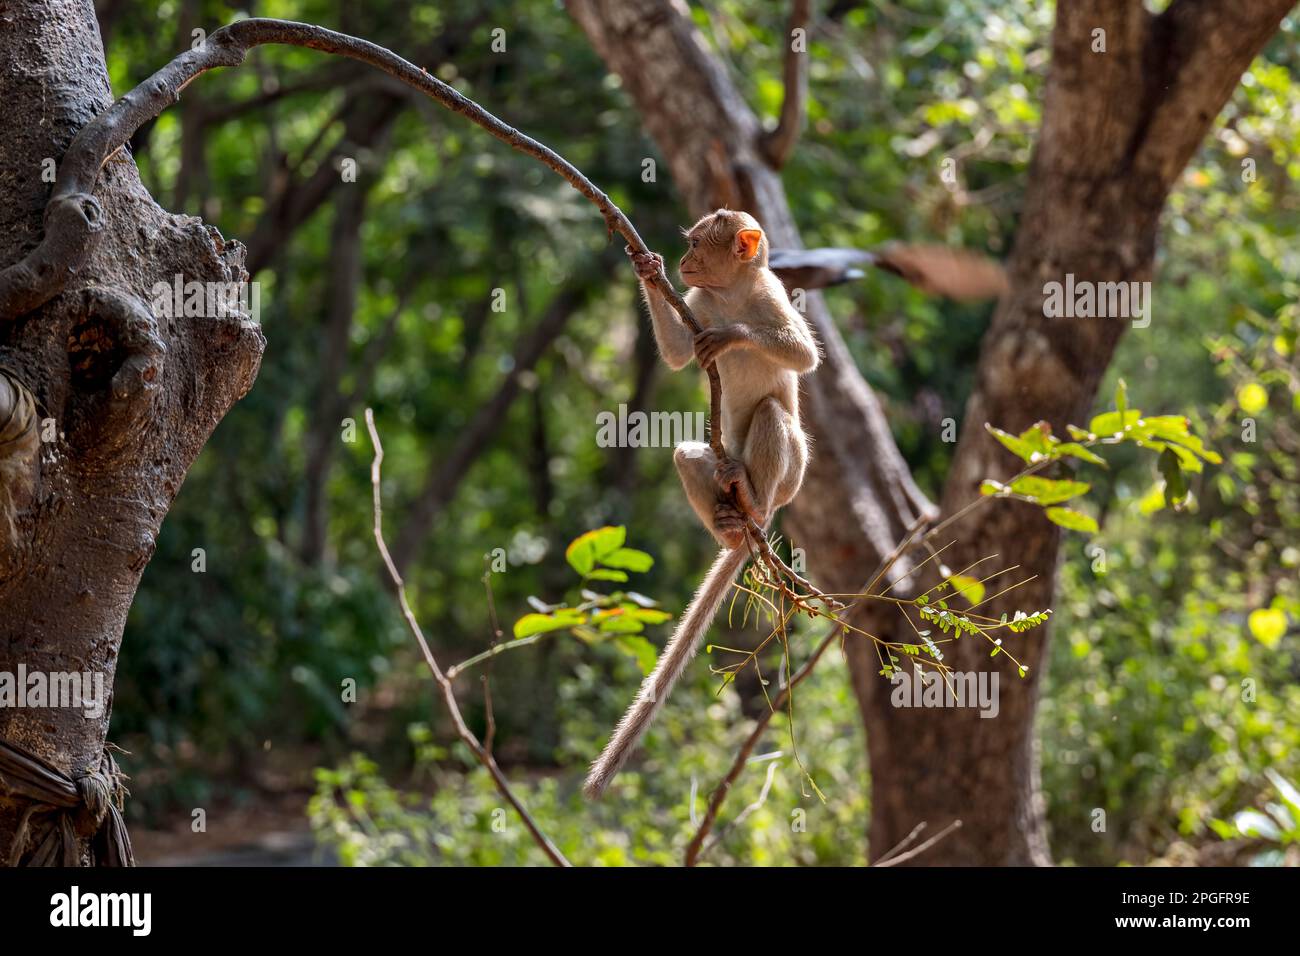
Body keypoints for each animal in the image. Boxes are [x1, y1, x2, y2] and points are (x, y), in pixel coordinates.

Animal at [585, 210, 816, 801]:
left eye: (697, 244)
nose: (685, 258)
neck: (732, 294)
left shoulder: (772, 295)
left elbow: (802, 354)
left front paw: (734, 337)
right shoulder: (700, 301)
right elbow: (676, 354)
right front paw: (647, 268)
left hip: (794, 476)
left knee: (773, 415)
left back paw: (752, 500)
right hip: (719, 463)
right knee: (689, 454)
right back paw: (729, 526)